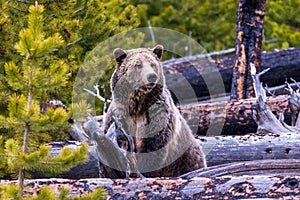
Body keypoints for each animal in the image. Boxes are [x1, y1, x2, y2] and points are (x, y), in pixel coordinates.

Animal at [103, 45, 206, 177]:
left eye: (152, 64)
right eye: (138, 65)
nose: (151, 76)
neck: (137, 105)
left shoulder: (156, 114)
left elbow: (153, 147)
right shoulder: (118, 116)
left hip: (186, 157)